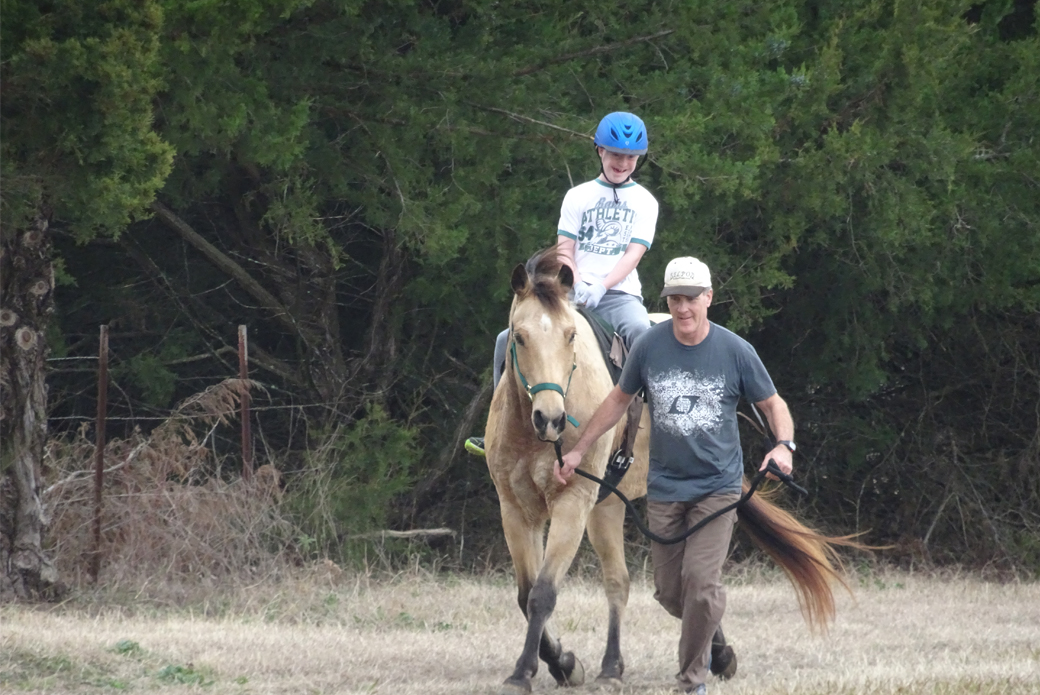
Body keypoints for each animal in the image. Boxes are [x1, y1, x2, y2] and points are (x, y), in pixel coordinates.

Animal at [486, 249, 861, 695]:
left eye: (569, 335)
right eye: (519, 336)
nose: (551, 419)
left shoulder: (572, 503)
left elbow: (542, 593)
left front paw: (528, 671)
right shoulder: (515, 509)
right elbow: (525, 594)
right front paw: (560, 662)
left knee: (669, 582)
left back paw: (700, 656)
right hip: (608, 505)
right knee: (623, 582)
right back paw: (618, 665)